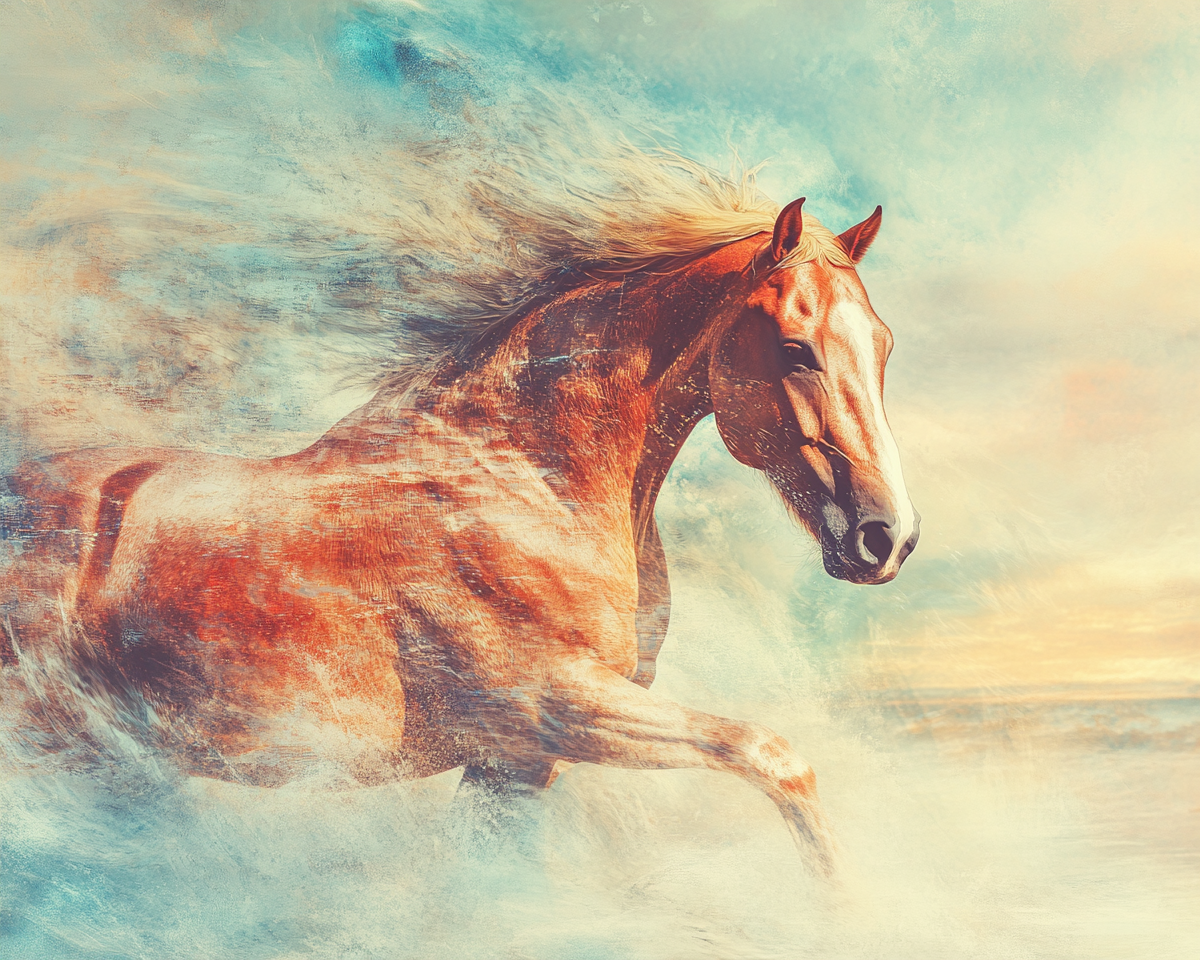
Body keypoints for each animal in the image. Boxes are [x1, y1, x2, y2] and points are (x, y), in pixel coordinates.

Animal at [0, 194, 916, 878]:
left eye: (883, 345)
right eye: (796, 349)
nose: (888, 538)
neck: (523, 481)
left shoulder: (517, 762)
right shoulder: (561, 707)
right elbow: (775, 756)